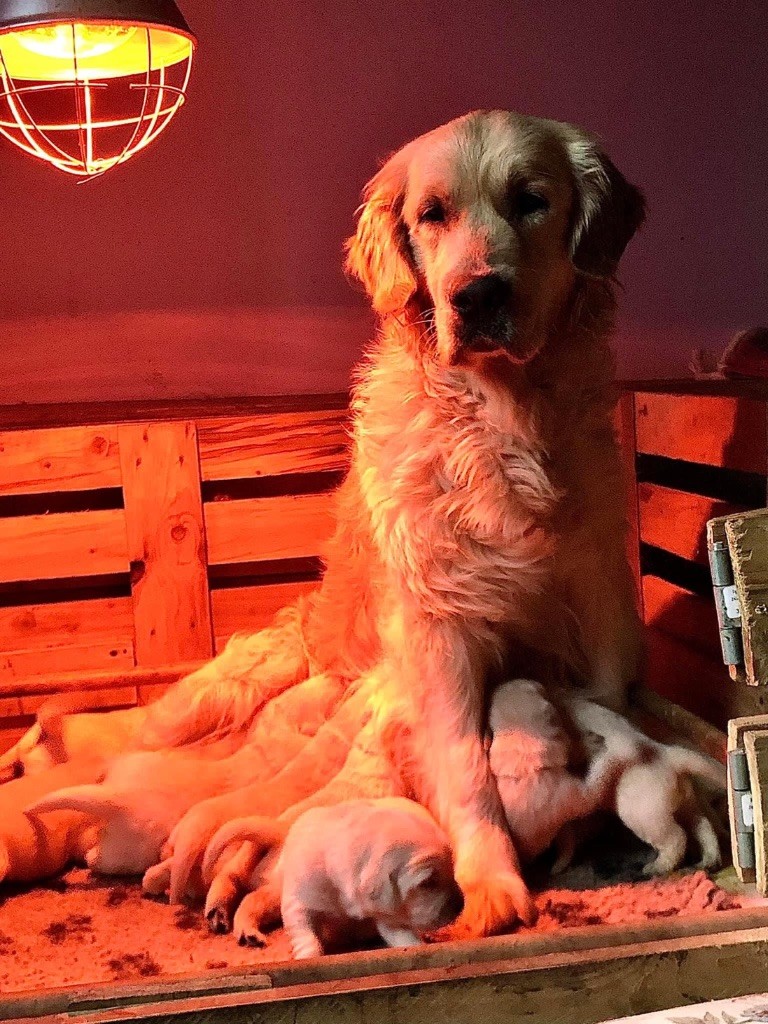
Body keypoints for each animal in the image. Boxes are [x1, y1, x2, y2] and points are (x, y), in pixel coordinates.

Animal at [9, 110, 647, 937]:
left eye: (531, 200)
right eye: (431, 214)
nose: (476, 296)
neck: (501, 416)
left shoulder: (599, 594)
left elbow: (609, 705)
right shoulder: (439, 624)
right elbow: (465, 765)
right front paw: (492, 882)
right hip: (213, 698)